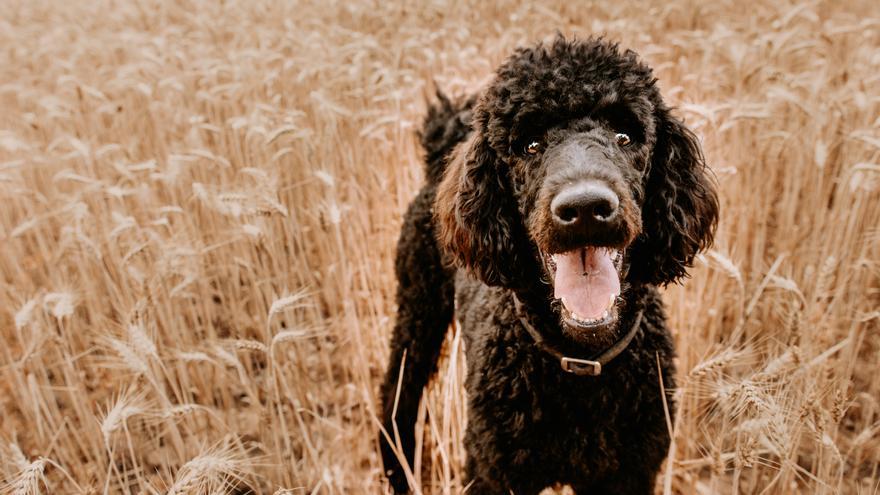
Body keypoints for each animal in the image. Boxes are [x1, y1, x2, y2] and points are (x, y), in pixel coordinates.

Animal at [378, 36, 716, 494]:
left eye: (625, 136)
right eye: (531, 145)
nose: (586, 208)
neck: (580, 364)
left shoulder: (629, 473)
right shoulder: (493, 472)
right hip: (418, 314)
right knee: (397, 403)